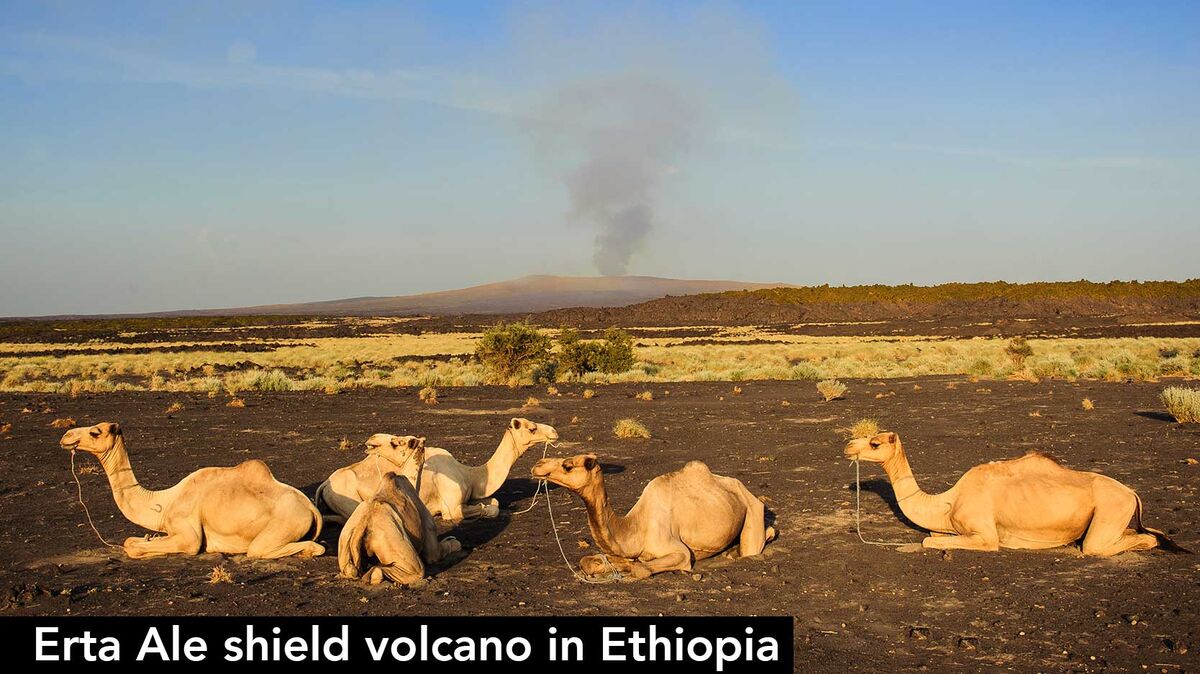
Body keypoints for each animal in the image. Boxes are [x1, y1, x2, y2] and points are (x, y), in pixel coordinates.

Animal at [59, 419, 324, 556]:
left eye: (95, 432)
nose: (66, 435)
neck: (164, 502)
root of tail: (312, 510)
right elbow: (132, 541)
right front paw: (147, 537)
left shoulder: (188, 534)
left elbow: (133, 547)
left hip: (285, 523)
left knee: (263, 550)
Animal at [343, 436, 468, 582]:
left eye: (396, 442)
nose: (371, 440)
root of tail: (361, 528)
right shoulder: (429, 533)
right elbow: (440, 551)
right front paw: (454, 541)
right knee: (412, 571)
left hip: (346, 543)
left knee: (352, 570)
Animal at [420, 417, 559, 522]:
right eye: (532, 429)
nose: (554, 431)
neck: (469, 476)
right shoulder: (453, 507)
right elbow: (488, 509)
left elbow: (495, 502)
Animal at [532, 450, 777, 578]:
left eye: (568, 465)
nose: (538, 464)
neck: (636, 528)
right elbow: (587, 561)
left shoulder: (679, 551)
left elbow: (642, 568)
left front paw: (630, 568)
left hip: (752, 508)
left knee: (752, 545)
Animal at [849, 429, 1185, 556]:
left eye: (875, 443)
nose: (848, 446)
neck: (948, 501)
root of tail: (1132, 493)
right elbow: (934, 535)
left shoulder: (986, 535)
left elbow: (928, 539)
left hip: (1111, 509)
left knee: (1108, 544)